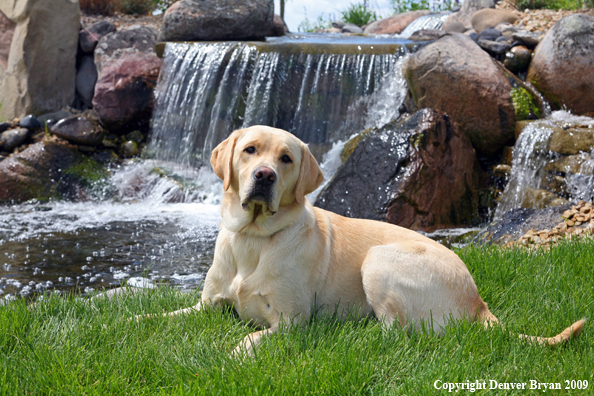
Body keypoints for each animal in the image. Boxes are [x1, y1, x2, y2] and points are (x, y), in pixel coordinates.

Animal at [145, 125, 584, 354]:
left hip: (379, 260)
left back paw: (352, 333)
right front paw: (133, 322)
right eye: (250, 150)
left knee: (395, 333)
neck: (254, 238)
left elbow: (247, 340)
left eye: (286, 159)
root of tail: (479, 303)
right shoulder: (206, 306)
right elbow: (155, 318)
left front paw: (229, 353)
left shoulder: (289, 322)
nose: (265, 175)